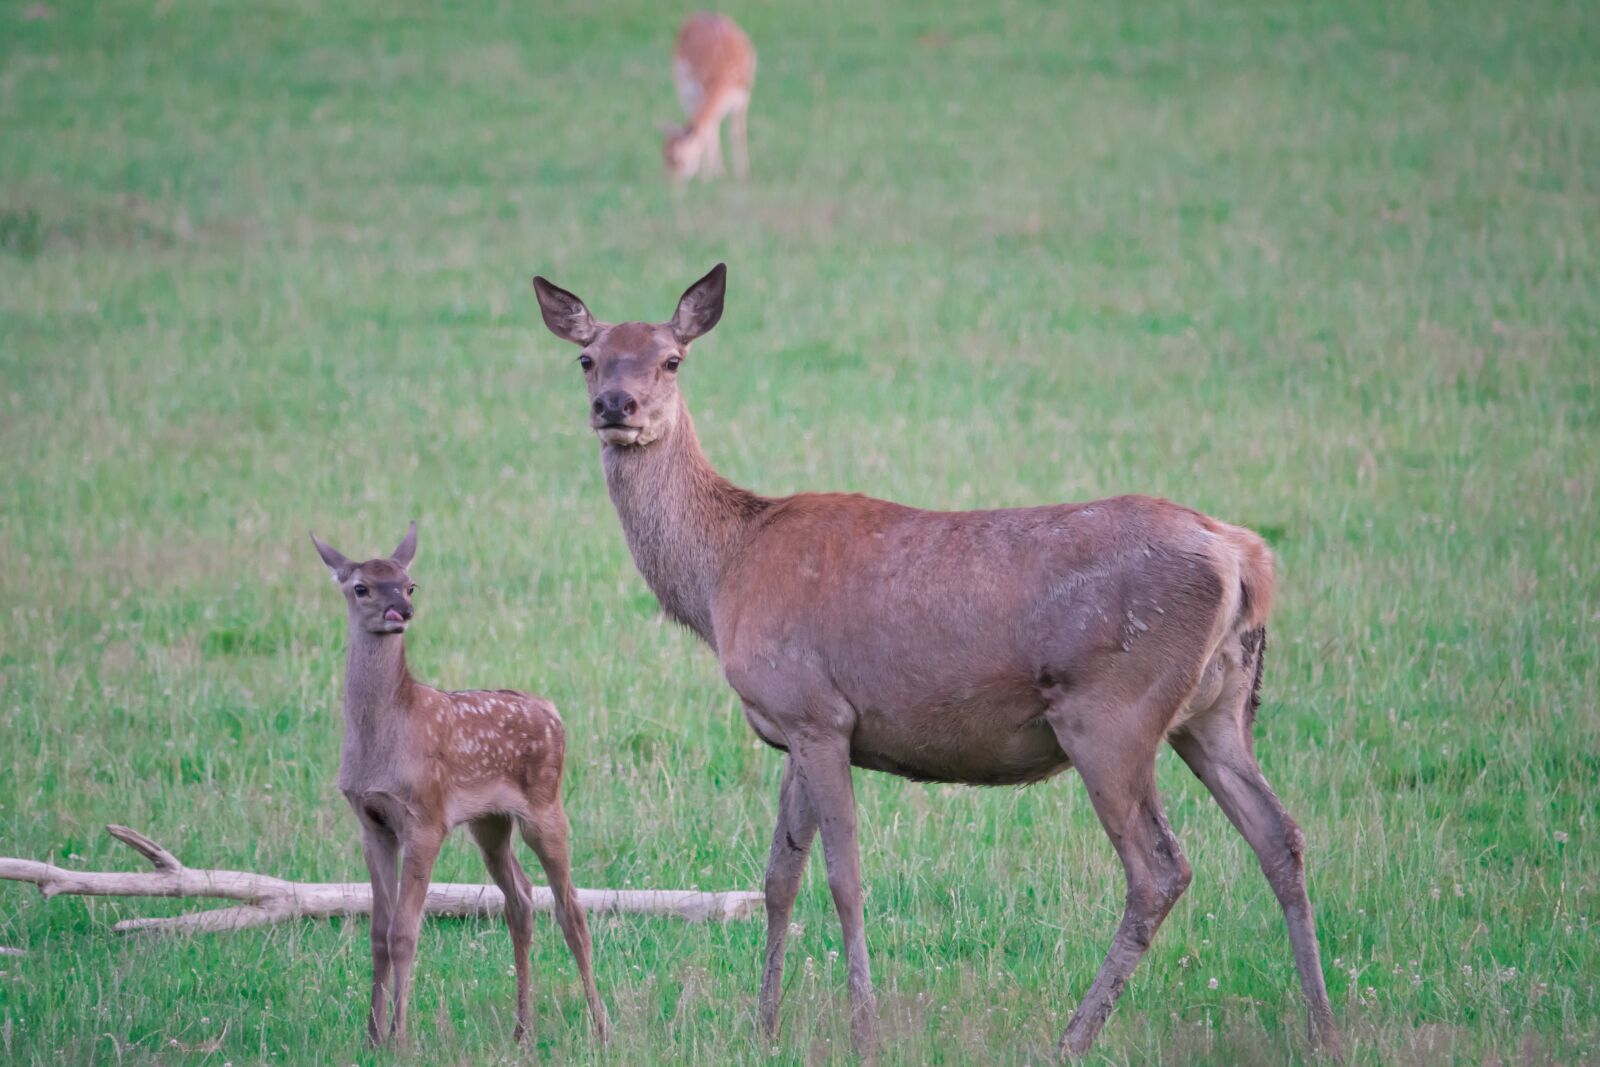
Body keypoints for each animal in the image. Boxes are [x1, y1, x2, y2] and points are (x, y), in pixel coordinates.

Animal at [309, 522, 610, 1047]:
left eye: (409, 585)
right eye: (361, 587)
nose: (401, 612)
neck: (384, 736)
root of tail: (552, 711)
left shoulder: (425, 818)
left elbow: (405, 931)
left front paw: (400, 1038)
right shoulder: (372, 823)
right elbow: (379, 931)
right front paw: (371, 1036)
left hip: (546, 805)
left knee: (571, 908)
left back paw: (601, 1026)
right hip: (490, 823)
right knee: (521, 900)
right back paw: (521, 1029)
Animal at [530, 264, 1343, 1061]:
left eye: (673, 358)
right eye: (588, 357)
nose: (615, 404)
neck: (722, 575)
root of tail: (1244, 556)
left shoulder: (816, 711)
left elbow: (844, 876)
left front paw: (863, 1028)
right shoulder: (792, 722)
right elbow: (779, 875)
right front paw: (763, 1026)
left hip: (1112, 712)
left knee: (1160, 868)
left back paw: (1073, 1035)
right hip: (1216, 709)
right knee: (1281, 837)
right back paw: (1323, 1028)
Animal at [662, 12, 755, 180]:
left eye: (675, 158)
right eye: (662, 153)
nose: (667, 180)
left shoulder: (744, 97)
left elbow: (738, 133)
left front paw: (743, 174)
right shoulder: (699, 94)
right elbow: (710, 132)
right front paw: (710, 176)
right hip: (683, 88)